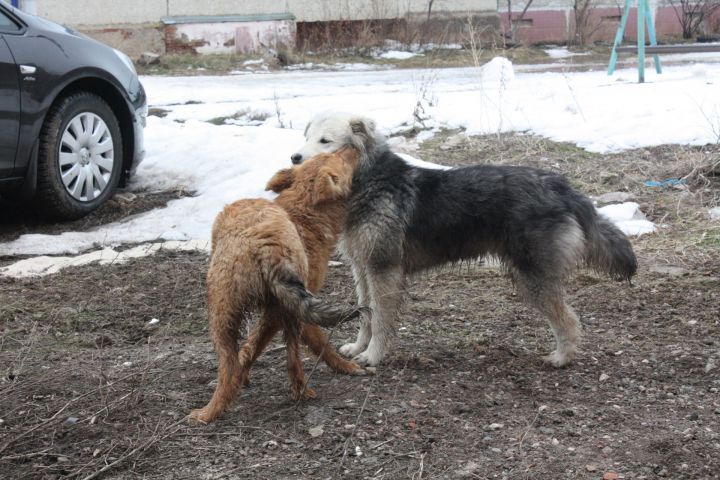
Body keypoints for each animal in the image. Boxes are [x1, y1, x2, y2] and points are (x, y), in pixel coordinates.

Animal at [188, 147, 362, 424]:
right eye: (340, 158)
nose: (354, 147)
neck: (303, 213)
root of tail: (266, 244)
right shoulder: (292, 309)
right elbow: (320, 343)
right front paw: (345, 366)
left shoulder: (280, 309)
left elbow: (251, 347)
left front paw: (243, 375)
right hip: (252, 311)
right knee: (281, 360)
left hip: (227, 314)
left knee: (259, 363)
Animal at [290, 112, 640, 368]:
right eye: (306, 136)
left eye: (325, 141)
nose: (294, 157)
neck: (369, 179)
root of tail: (561, 186)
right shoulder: (363, 268)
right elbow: (366, 314)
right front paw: (359, 347)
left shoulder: (383, 270)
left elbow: (382, 319)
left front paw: (374, 355)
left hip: (533, 277)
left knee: (568, 320)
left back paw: (562, 358)